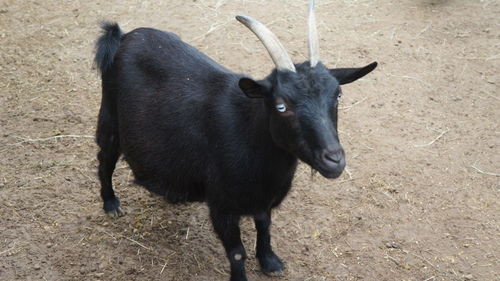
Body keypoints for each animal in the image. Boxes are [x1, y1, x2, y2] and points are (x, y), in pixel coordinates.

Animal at [94, 1, 376, 278]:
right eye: (281, 106)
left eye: (338, 94)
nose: (334, 160)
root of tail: (123, 37)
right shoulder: (222, 205)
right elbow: (237, 252)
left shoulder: (264, 199)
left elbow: (265, 226)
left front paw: (270, 262)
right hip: (109, 118)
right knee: (104, 159)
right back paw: (111, 203)